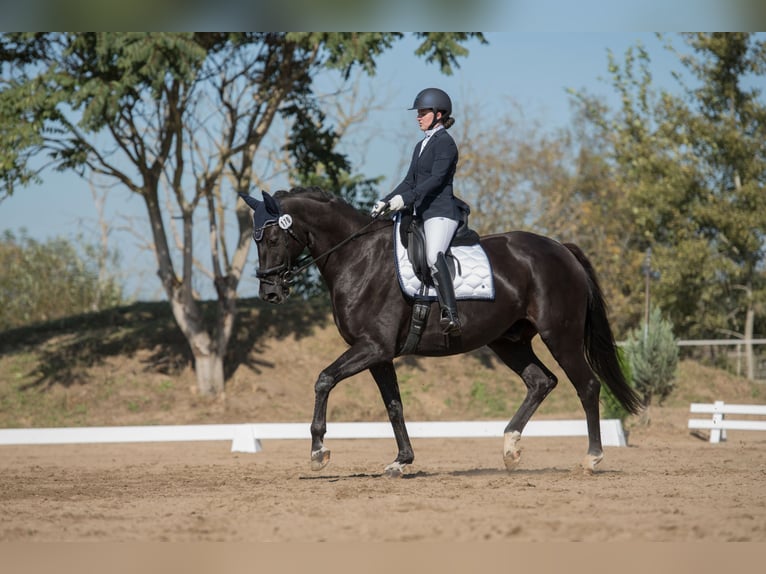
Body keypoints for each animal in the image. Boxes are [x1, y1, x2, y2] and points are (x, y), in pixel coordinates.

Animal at [241, 186, 642, 477]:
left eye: (272, 239)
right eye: (256, 240)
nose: (270, 293)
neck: (358, 258)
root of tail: (561, 249)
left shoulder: (372, 347)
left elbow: (324, 379)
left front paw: (318, 451)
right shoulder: (379, 354)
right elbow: (394, 406)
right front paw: (401, 460)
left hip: (560, 336)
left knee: (586, 385)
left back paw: (591, 458)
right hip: (508, 341)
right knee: (540, 381)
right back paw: (510, 449)